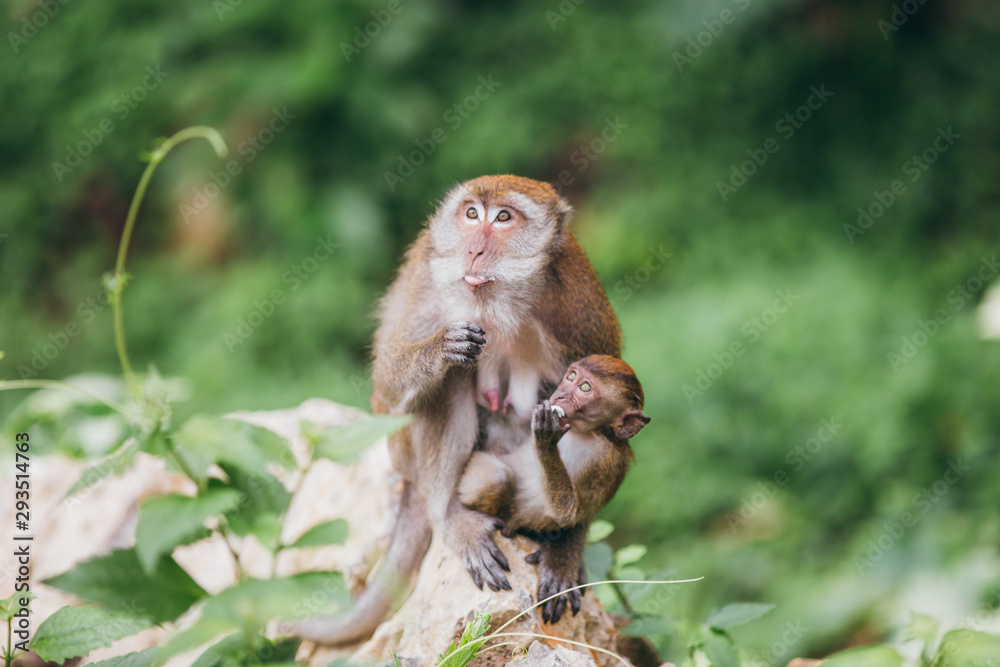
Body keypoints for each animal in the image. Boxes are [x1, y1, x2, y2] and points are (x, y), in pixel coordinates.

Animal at [292, 175, 622, 644]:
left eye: (502, 217)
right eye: (471, 214)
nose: (473, 251)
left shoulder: (578, 309)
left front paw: (567, 547)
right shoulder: (431, 287)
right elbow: (389, 384)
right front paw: (437, 350)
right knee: (446, 384)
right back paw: (451, 516)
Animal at [457, 355, 649, 622]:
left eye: (585, 388)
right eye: (571, 376)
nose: (560, 396)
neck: (585, 432)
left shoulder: (605, 462)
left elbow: (569, 514)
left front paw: (546, 441)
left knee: (498, 479)